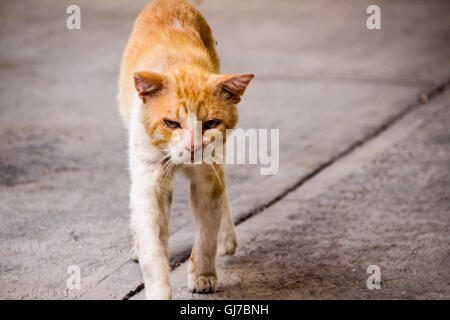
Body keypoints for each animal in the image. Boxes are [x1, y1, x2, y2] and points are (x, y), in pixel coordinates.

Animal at [118, 0, 255, 300]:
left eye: (211, 123)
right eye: (171, 123)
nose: (193, 146)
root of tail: (168, 2)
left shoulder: (207, 179)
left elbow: (206, 234)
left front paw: (204, 274)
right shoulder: (149, 185)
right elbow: (153, 250)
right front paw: (159, 291)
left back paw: (227, 237)